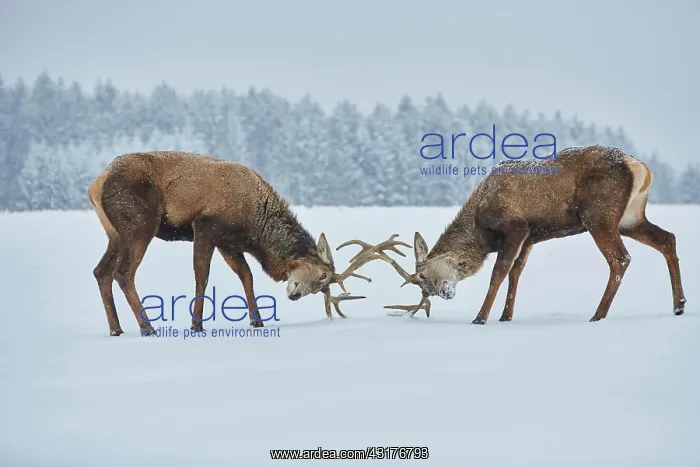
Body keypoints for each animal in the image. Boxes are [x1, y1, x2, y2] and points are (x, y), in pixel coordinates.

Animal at [87, 150, 399, 336]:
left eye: (322, 286)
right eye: (322, 276)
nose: (295, 294)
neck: (255, 228)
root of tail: (96, 184)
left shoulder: (230, 243)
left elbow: (247, 276)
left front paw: (257, 320)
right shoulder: (206, 226)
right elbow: (202, 275)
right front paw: (197, 325)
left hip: (114, 233)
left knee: (101, 271)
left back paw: (116, 329)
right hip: (140, 223)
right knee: (123, 272)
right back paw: (146, 327)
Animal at [375, 145, 687, 324]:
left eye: (423, 276)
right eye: (422, 287)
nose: (442, 293)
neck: (482, 230)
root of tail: (640, 167)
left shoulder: (516, 226)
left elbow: (499, 271)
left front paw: (481, 317)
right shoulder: (531, 236)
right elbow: (516, 272)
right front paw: (506, 315)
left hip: (599, 215)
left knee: (620, 259)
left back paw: (598, 314)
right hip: (630, 218)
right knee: (667, 238)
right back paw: (679, 305)